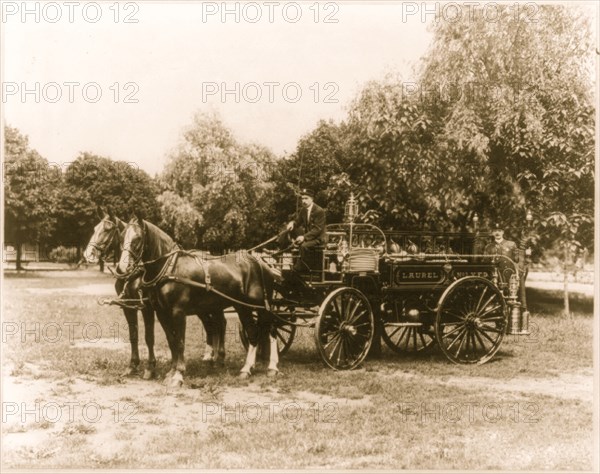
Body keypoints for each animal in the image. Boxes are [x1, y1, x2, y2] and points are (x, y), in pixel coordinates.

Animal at [119, 214, 282, 386]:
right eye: (122, 237)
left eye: (138, 238)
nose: (123, 267)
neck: (170, 268)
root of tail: (260, 263)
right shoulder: (162, 312)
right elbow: (172, 340)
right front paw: (171, 372)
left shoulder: (178, 312)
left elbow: (180, 342)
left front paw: (178, 375)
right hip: (242, 307)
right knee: (253, 331)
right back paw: (247, 368)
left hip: (260, 306)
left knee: (270, 330)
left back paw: (270, 367)